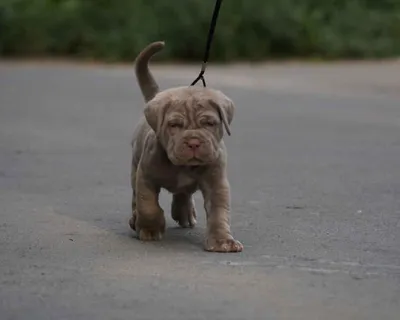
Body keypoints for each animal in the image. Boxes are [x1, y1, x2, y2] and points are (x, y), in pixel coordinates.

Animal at [130, 40, 242, 252]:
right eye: (174, 125)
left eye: (210, 123)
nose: (193, 142)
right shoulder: (146, 176)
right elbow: (148, 205)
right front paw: (150, 229)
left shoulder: (217, 182)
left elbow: (219, 212)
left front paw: (222, 241)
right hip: (135, 165)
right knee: (136, 197)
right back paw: (135, 220)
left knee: (183, 193)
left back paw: (184, 212)